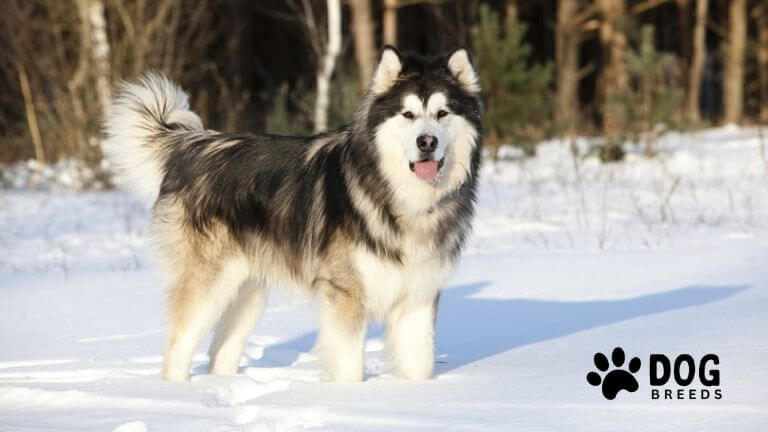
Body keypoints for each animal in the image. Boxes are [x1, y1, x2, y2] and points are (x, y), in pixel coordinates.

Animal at [105, 47, 484, 382]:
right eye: (408, 115)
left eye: (443, 114)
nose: (426, 142)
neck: (402, 197)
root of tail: (194, 145)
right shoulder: (345, 294)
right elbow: (350, 367)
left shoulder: (419, 297)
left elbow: (420, 365)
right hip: (208, 284)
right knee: (178, 349)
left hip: (248, 292)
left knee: (219, 355)